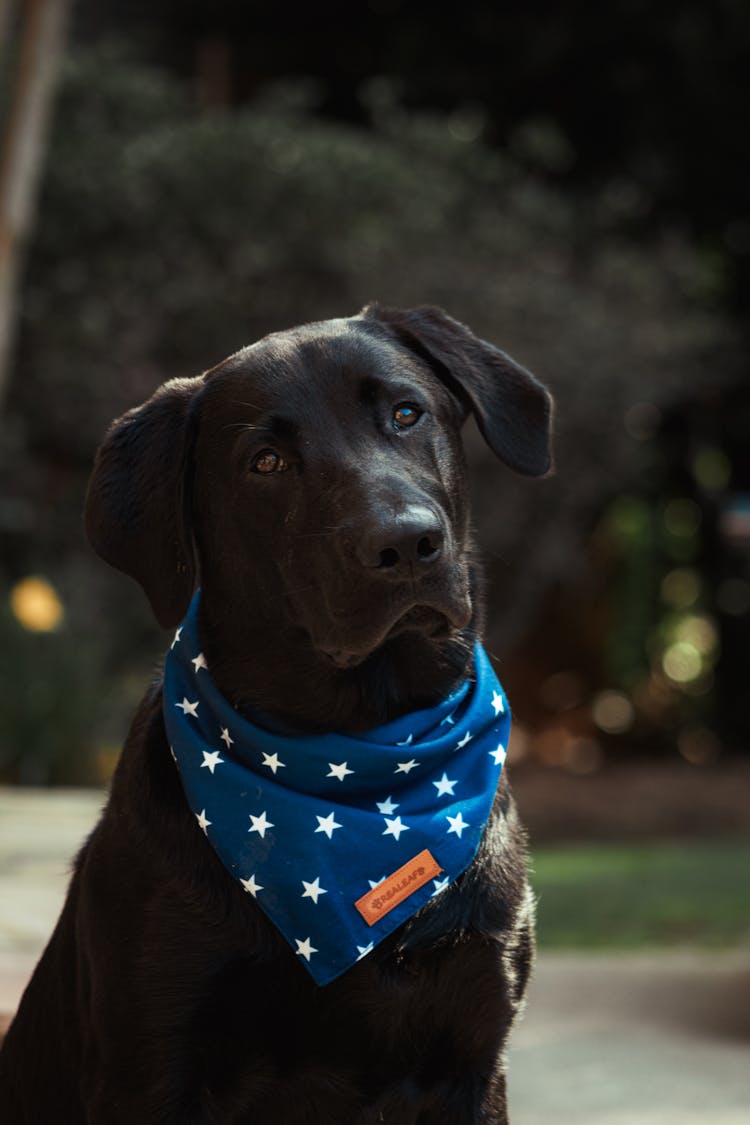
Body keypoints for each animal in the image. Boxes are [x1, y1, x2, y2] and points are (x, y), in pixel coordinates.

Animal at [0, 303, 550, 1120]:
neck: (362, 751)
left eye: (406, 412)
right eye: (266, 463)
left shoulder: (475, 1058)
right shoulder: (150, 1061)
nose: (407, 542)